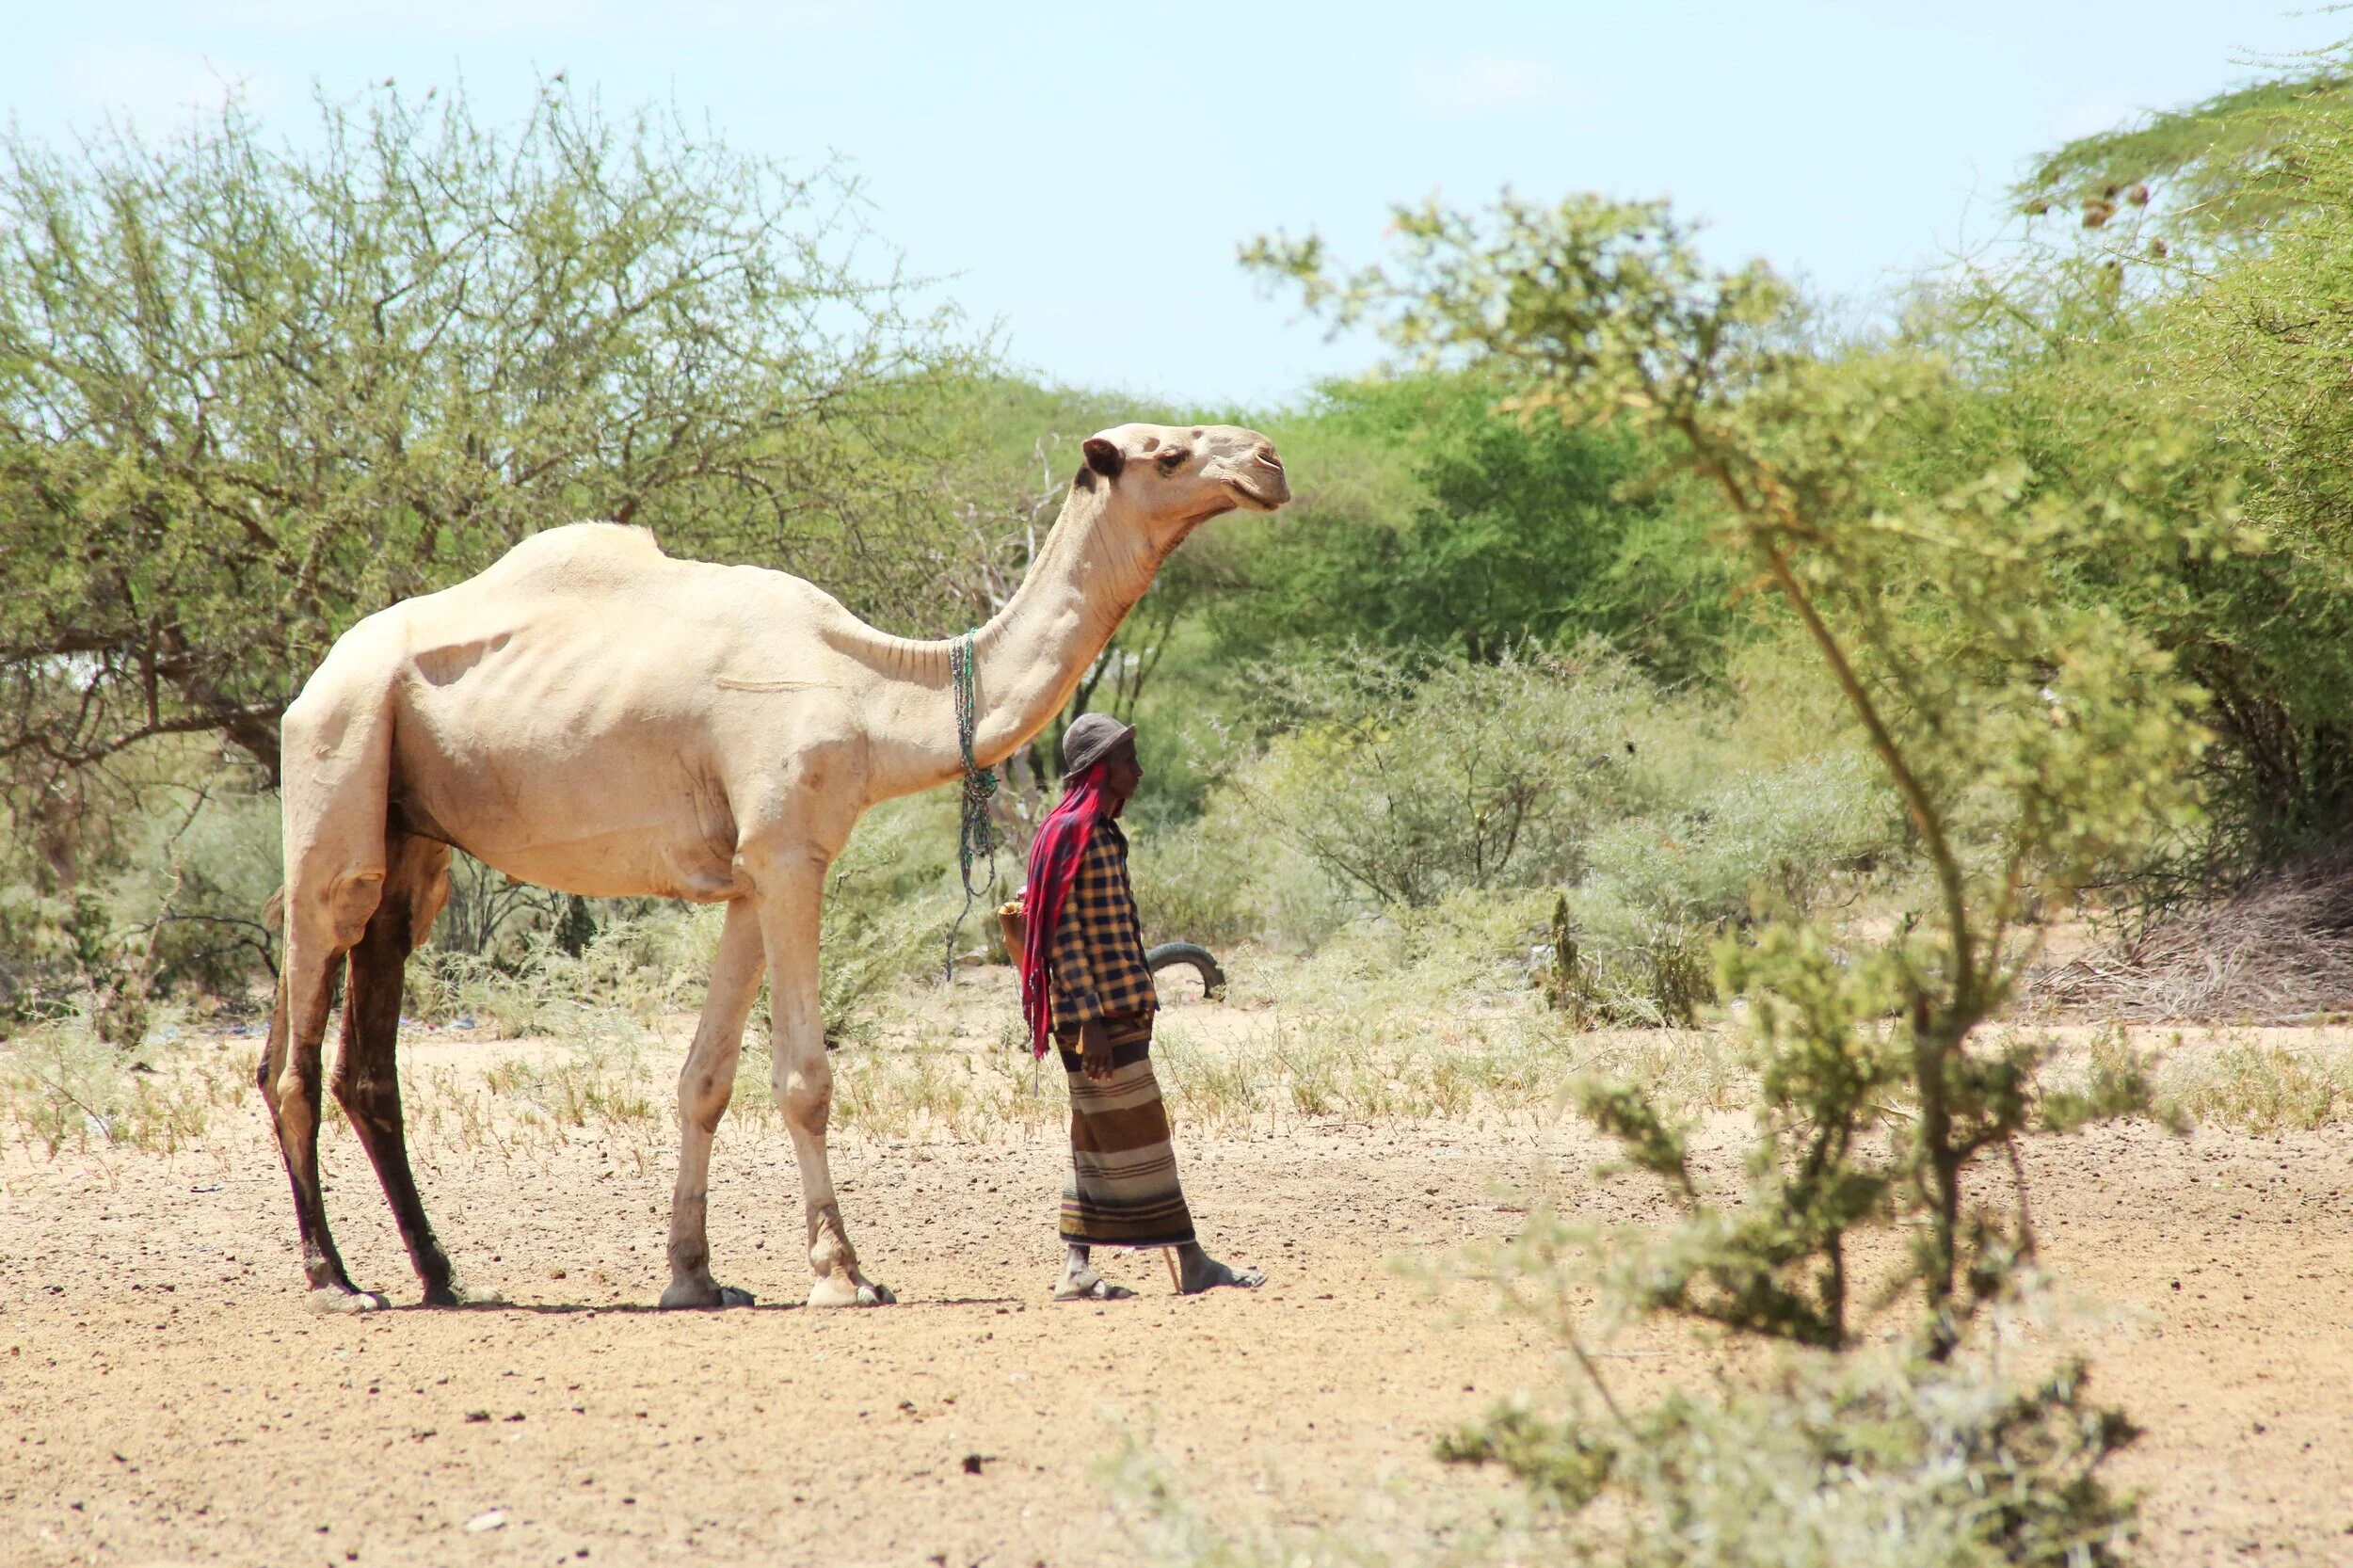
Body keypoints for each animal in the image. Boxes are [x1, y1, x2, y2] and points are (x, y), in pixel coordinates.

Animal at [259, 423, 1289, 1313]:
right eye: (1168, 452)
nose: (1270, 462)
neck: (874, 691)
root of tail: (312, 680)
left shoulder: (752, 874)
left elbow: (703, 1080)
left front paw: (693, 1277)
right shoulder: (792, 853)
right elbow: (804, 1077)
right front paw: (842, 1272)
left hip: (411, 830)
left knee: (367, 1038)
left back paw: (439, 1274)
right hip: (339, 754)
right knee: (300, 1031)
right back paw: (335, 1281)